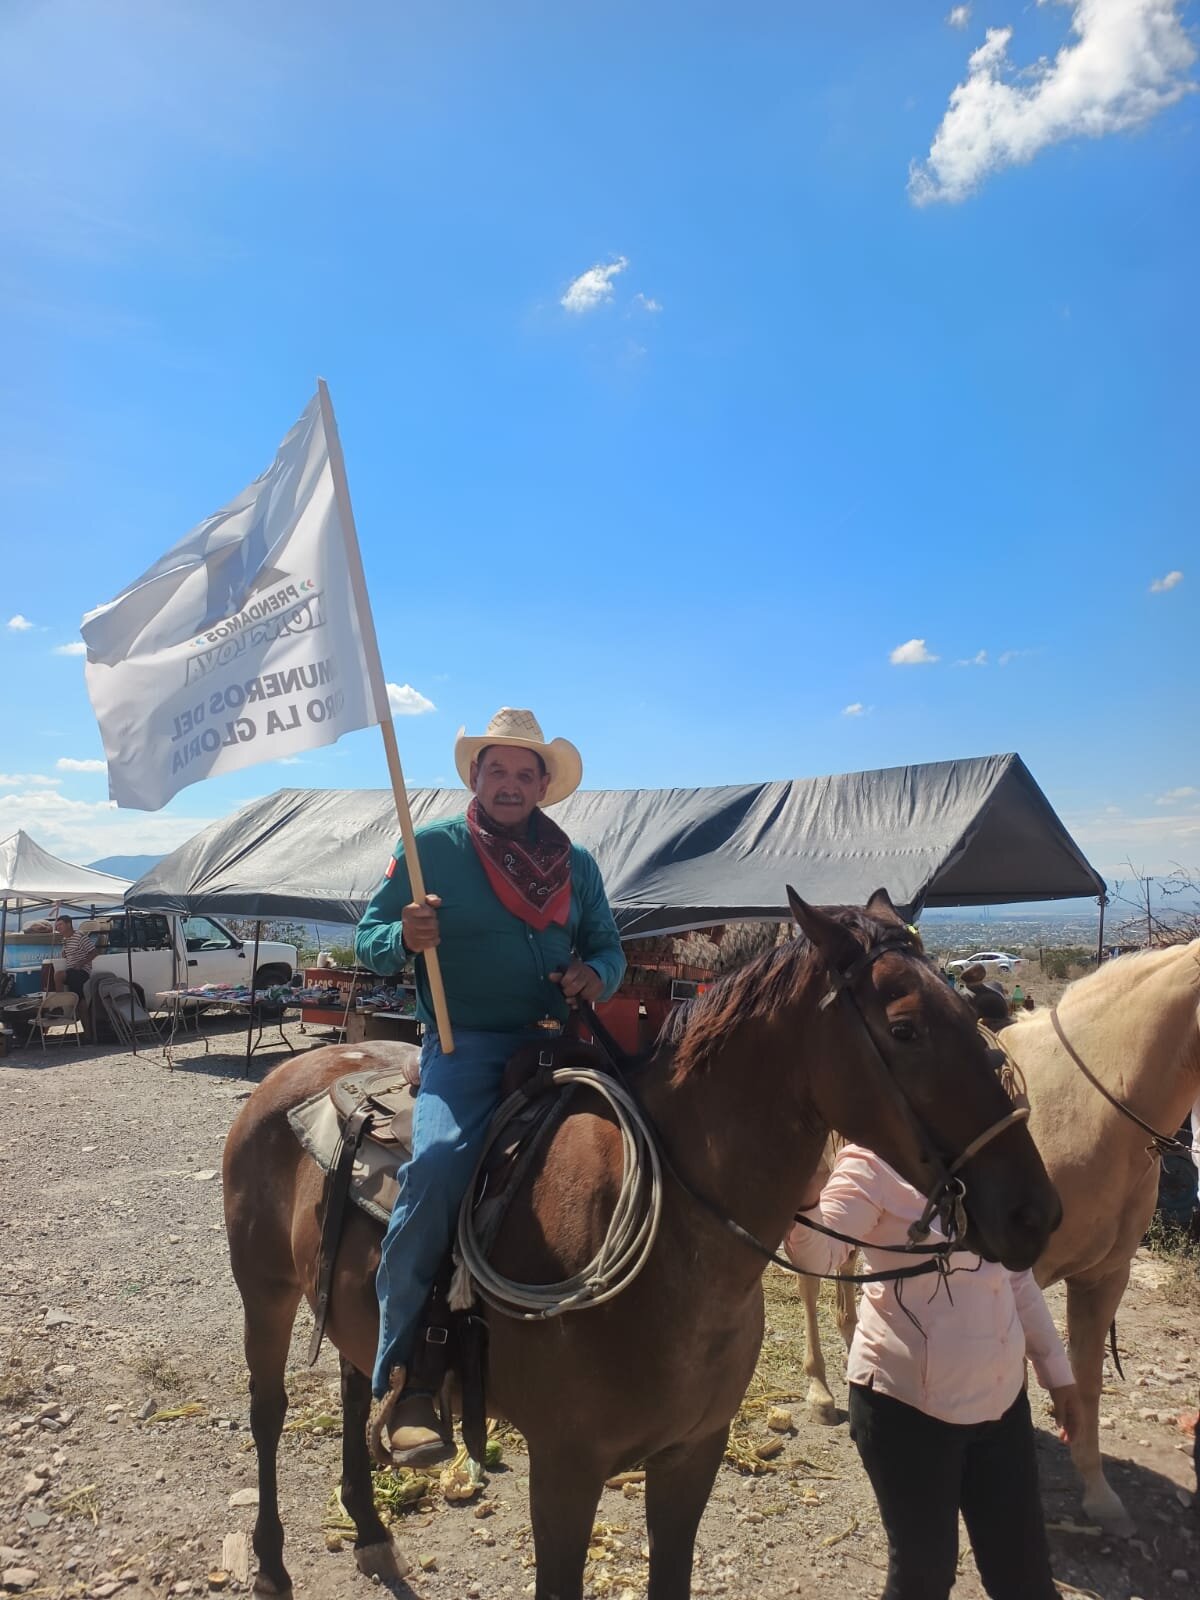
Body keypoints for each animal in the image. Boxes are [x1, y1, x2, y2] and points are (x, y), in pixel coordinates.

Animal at [222, 889, 1062, 1600]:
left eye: (971, 1012)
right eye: (905, 1029)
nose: (1035, 1213)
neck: (677, 1263)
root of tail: (301, 1067)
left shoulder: (691, 1458)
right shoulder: (564, 1471)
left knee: (354, 1378)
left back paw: (369, 1528)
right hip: (264, 1294)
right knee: (267, 1412)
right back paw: (271, 1564)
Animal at [796, 939, 1200, 1535]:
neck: (1095, 1108)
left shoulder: (1105, 1278)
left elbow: (1085, 1381)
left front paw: (1098, 1493)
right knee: (807, 1284)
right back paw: (821, 1391)